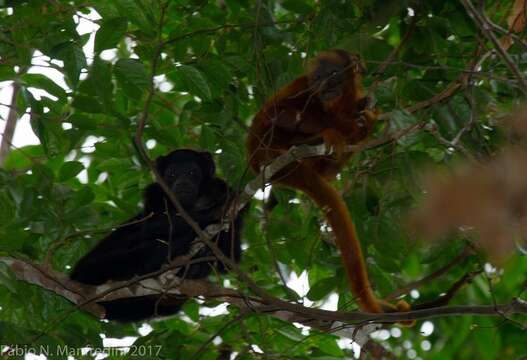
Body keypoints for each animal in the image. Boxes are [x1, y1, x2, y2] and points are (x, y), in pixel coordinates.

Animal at [245, 49, 410, 314]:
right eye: (318, 77)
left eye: (333, 74)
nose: (324, 85)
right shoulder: (302, 86)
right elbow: (278, 111)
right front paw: (340, 126)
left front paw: (363, 116)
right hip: (266, 146)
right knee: (279, 117)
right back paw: (322, 136)